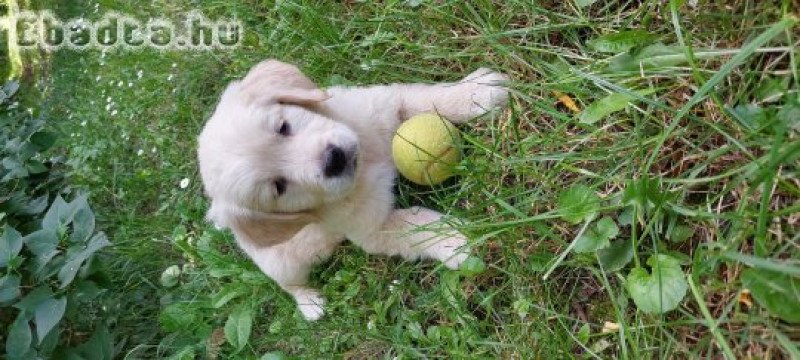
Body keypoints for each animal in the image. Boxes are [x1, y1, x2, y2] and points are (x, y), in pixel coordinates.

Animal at [197, 59, 506, 320]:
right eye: (278, 187)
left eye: (283, 127)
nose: (333, 160)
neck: (367, 160)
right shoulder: (372, 228)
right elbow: (416, 225)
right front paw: (457, 239)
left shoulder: (387, 104)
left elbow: (426, 98)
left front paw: (478, 92)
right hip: (282, 265)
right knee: (289, 285)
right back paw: (310, 304)